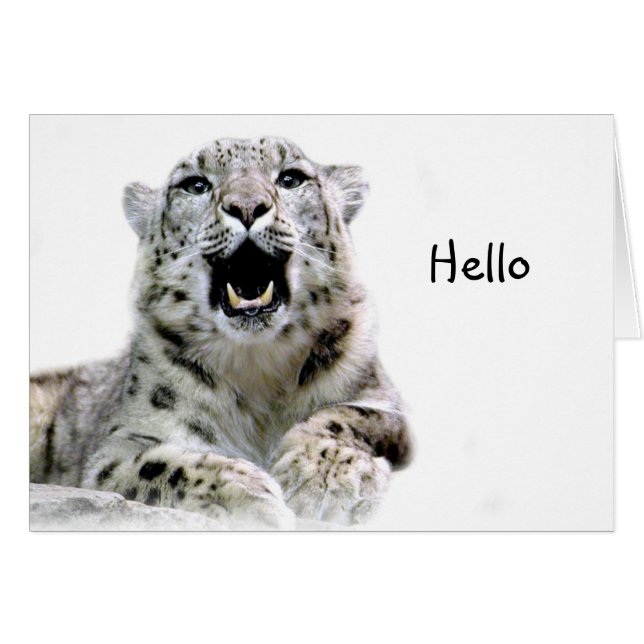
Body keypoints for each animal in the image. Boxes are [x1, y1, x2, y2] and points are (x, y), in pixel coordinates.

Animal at [29, 136, 412, 529]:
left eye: (291, 178)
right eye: (196, 185)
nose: (246, 206)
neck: (259, 369)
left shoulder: (384, 398)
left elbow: (350, 414)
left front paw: (320, 478)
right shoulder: (119, 446)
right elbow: (159, 466)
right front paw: (248, 495)